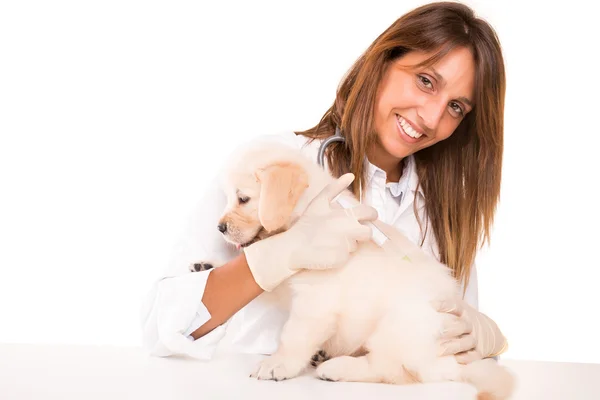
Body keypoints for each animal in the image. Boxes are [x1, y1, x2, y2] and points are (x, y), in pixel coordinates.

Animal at [192, 142, 516, 398]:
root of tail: (460, 365)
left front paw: (278, 363)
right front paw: (207, 265)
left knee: (393, 370)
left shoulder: (315, 302)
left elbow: (293, 335)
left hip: (396, 327)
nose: (220, 228)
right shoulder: (283, 279)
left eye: (243, 198)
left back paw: (337, 367)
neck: (305, 217)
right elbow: (260, 275)